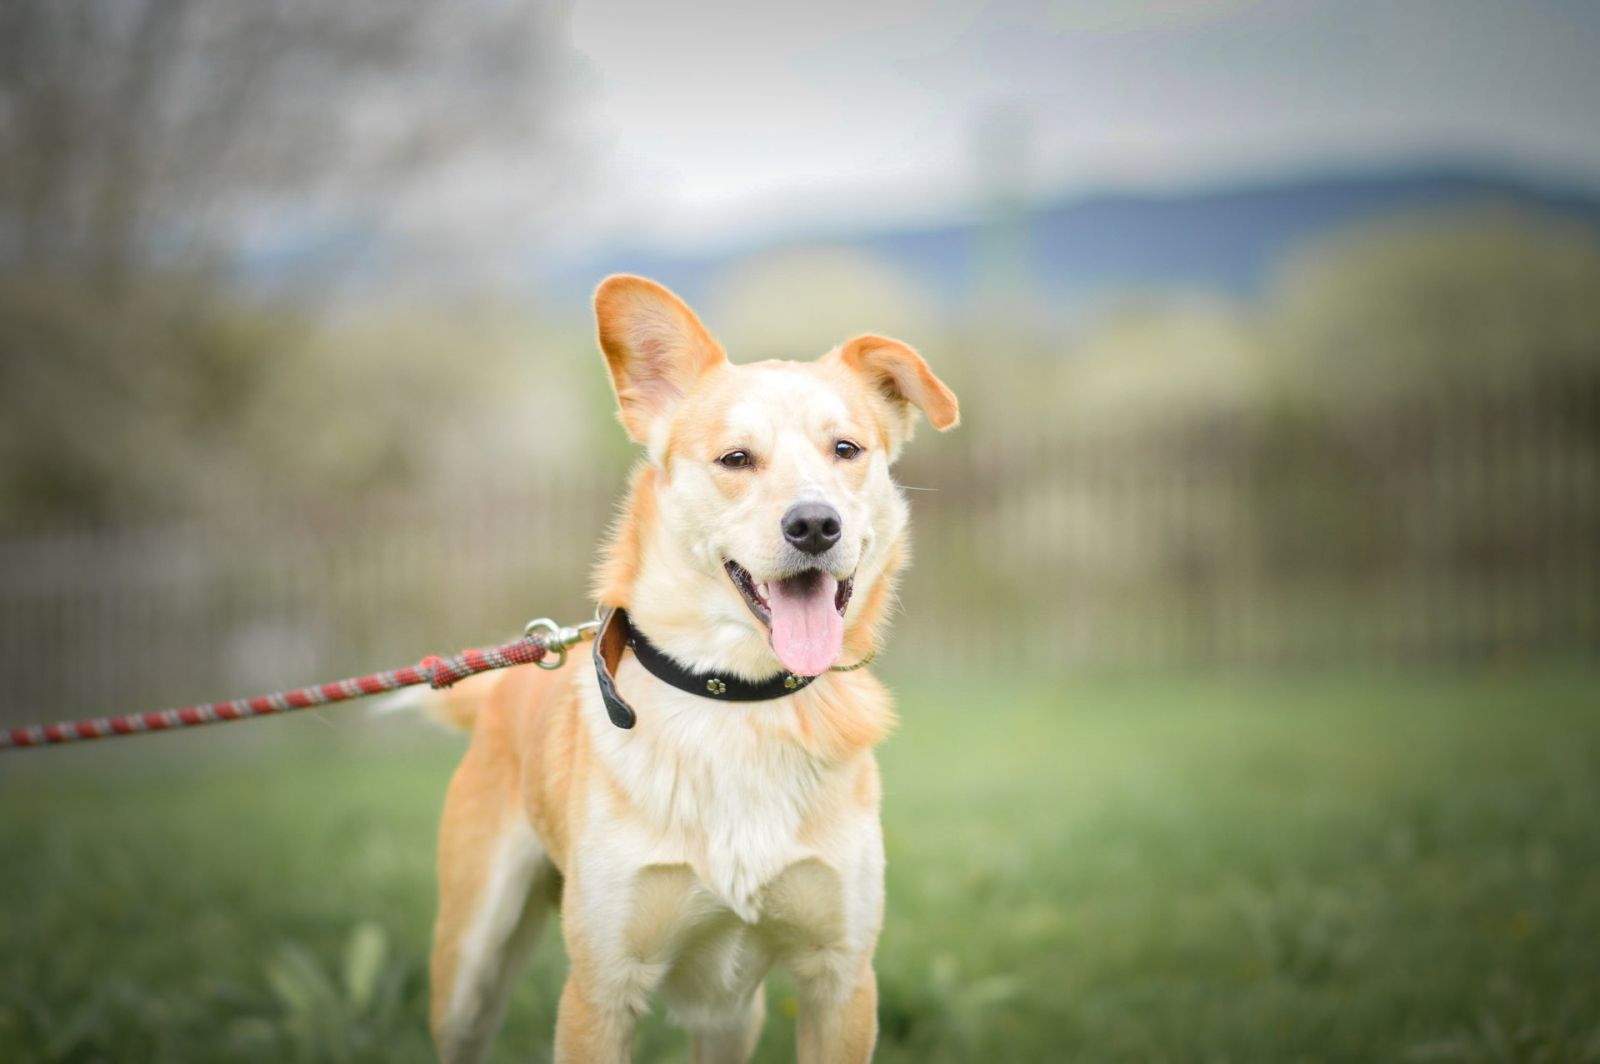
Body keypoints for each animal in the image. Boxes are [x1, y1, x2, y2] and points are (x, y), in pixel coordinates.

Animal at [426, 275, 959, 1063]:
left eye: (846, 449)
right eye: (736, 459)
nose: (814, 524)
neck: (739, 698)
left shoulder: (841, 978)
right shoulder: (600, 990)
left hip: (728, 1013)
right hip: (470, 966)